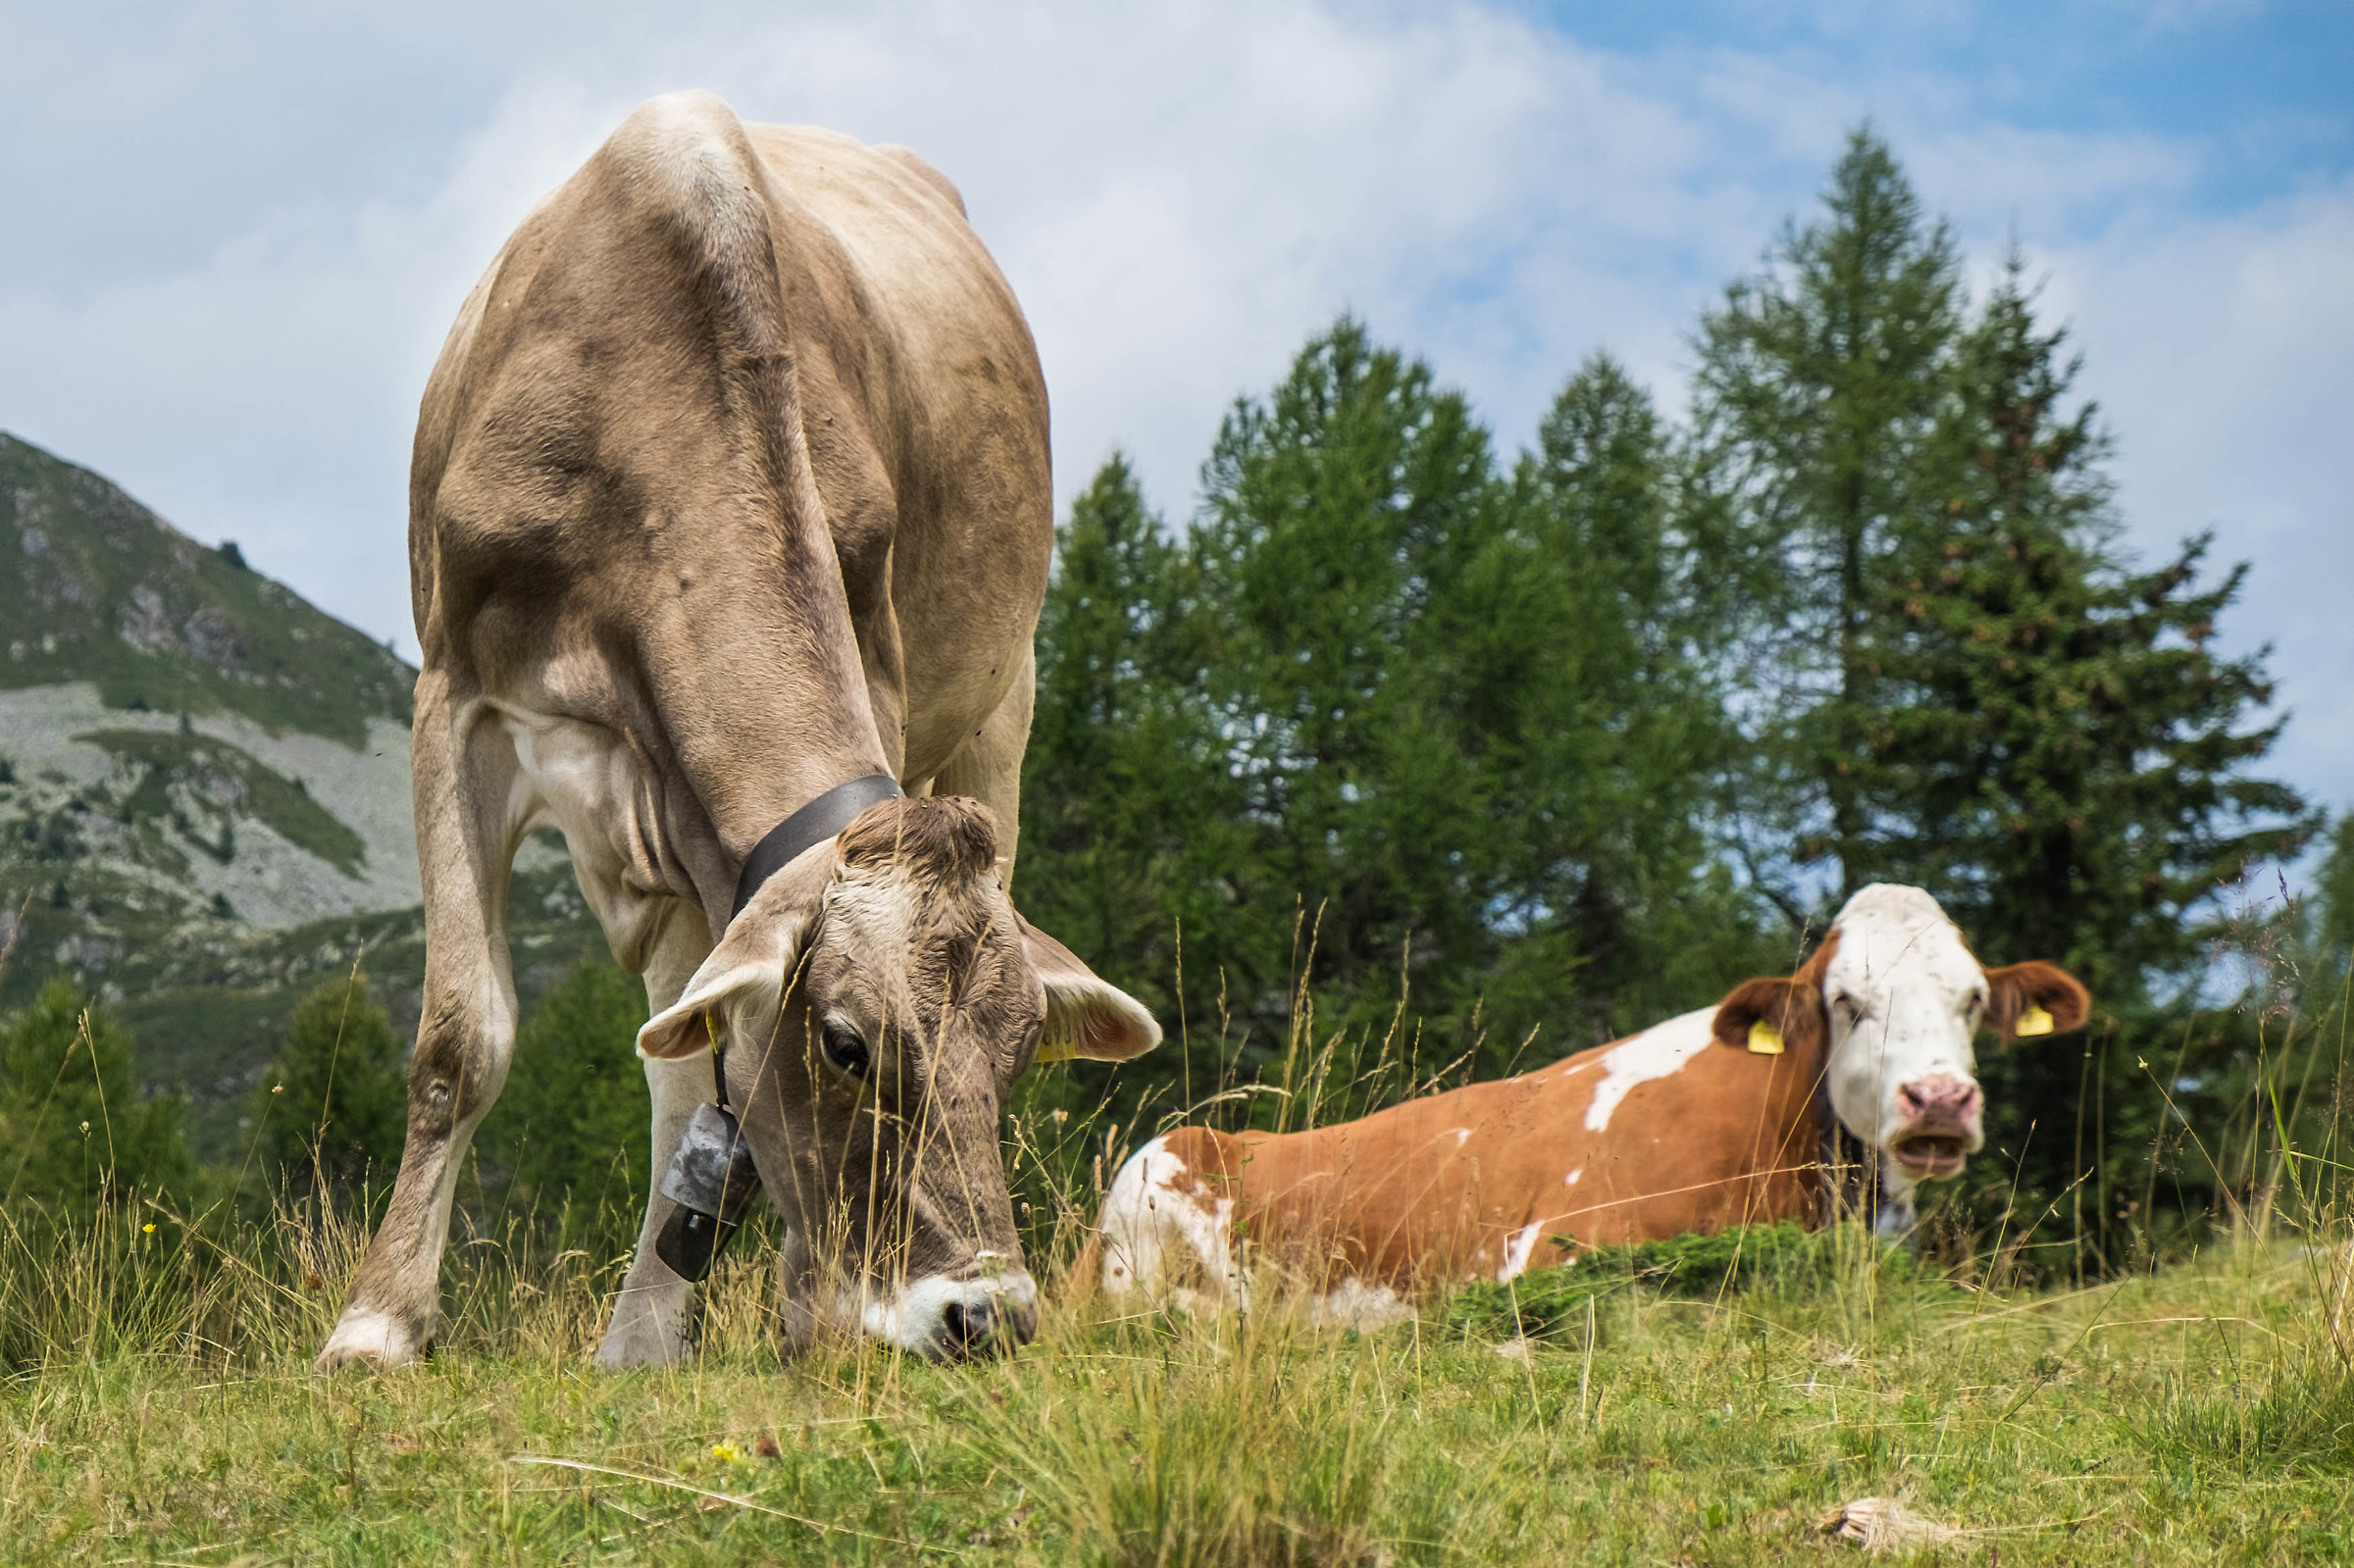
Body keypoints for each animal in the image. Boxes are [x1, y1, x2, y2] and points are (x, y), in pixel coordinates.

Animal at [317, 91, 1162, 1373]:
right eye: (847, 1044)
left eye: (1020, 1056)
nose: (985, 1315)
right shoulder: (455, 699)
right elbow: (465, 1039)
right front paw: (374, 1329)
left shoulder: (869, 662)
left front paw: (797, 1314)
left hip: (1002, 699)